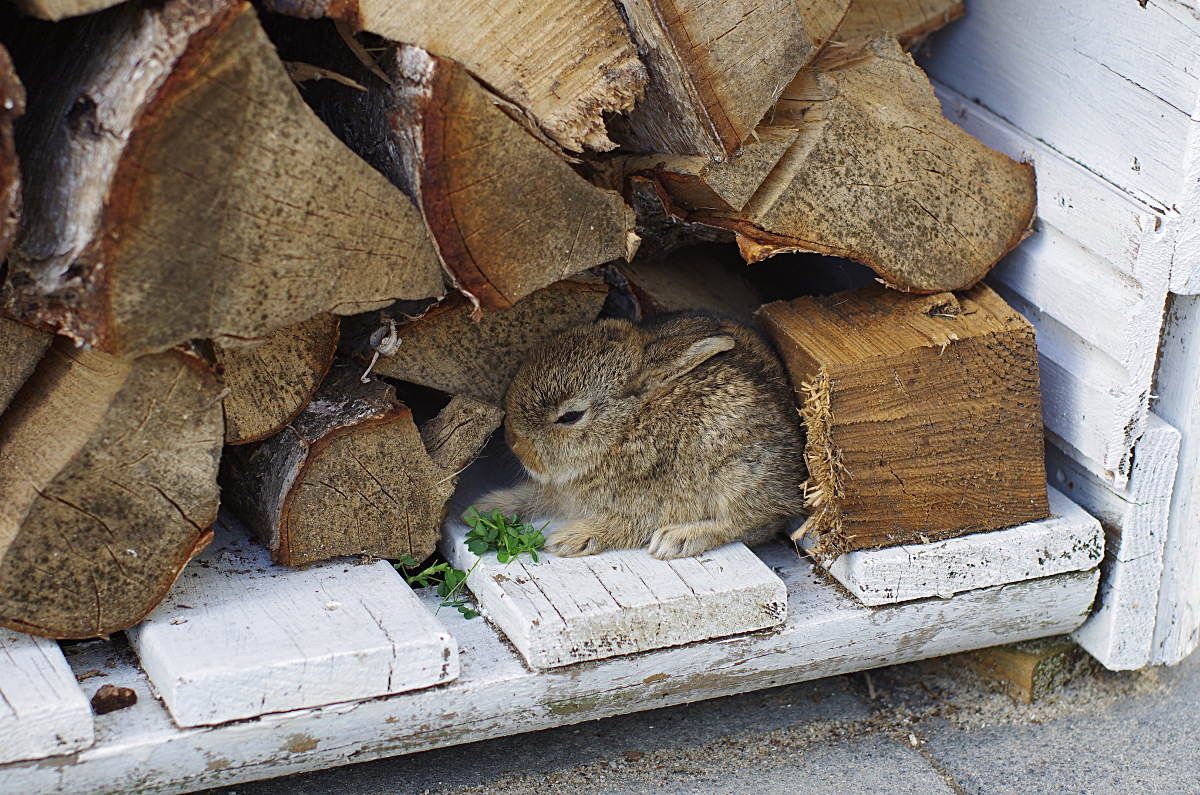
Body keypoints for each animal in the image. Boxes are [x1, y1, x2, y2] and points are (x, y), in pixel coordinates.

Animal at [475, 312, 806, 559]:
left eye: (570, 417)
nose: (514, 444)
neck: (624, 428)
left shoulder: (650, 501)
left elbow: (625, 526)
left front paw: (571, 539)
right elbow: (533, 496)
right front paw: (486, 508)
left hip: (738, 474)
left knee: (752, 519)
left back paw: (678, 539)